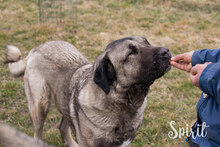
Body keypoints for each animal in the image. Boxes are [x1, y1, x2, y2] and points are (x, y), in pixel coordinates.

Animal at [4, 36, 170, 147]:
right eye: (131, 53)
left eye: (147, 42)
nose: (166, 51)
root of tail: (35, 49)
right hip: (39, 107)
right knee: (38, 134)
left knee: (63, 127)